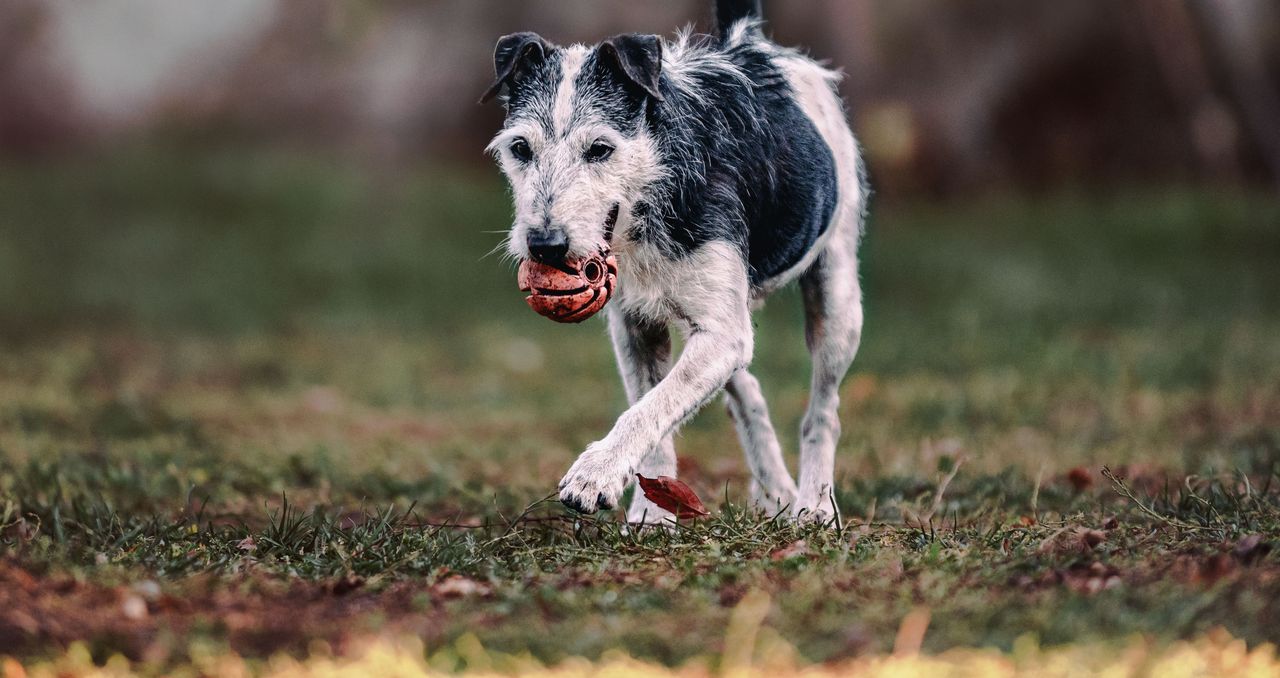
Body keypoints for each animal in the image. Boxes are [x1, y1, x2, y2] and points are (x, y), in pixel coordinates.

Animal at [481, 0, 870, 521]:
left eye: (600, 149)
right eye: (520, 148)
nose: (545, 245)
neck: (652, 188)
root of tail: (747, 39)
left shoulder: (720, 333)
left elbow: (650, 407)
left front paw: (595, 474)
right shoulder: (636, 326)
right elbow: (653, 404)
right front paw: (650, 514)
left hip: (836, 297)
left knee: (823, 410)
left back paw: (816, 505)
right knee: (747, 390)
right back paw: (776, 491)